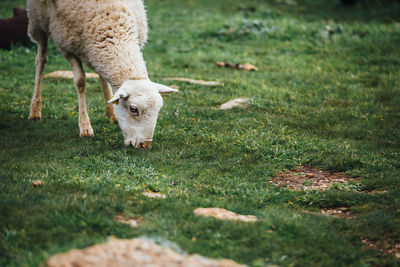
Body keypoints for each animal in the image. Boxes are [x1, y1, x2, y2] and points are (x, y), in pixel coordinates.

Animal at [27, 0, 178, 149]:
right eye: (133, 109)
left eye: (159, 109)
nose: (145, 145)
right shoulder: (66, 46)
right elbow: (80, 82)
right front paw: (85, 127)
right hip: (38, 19)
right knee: (41, 59)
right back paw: (35, 110)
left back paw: (111, 113)